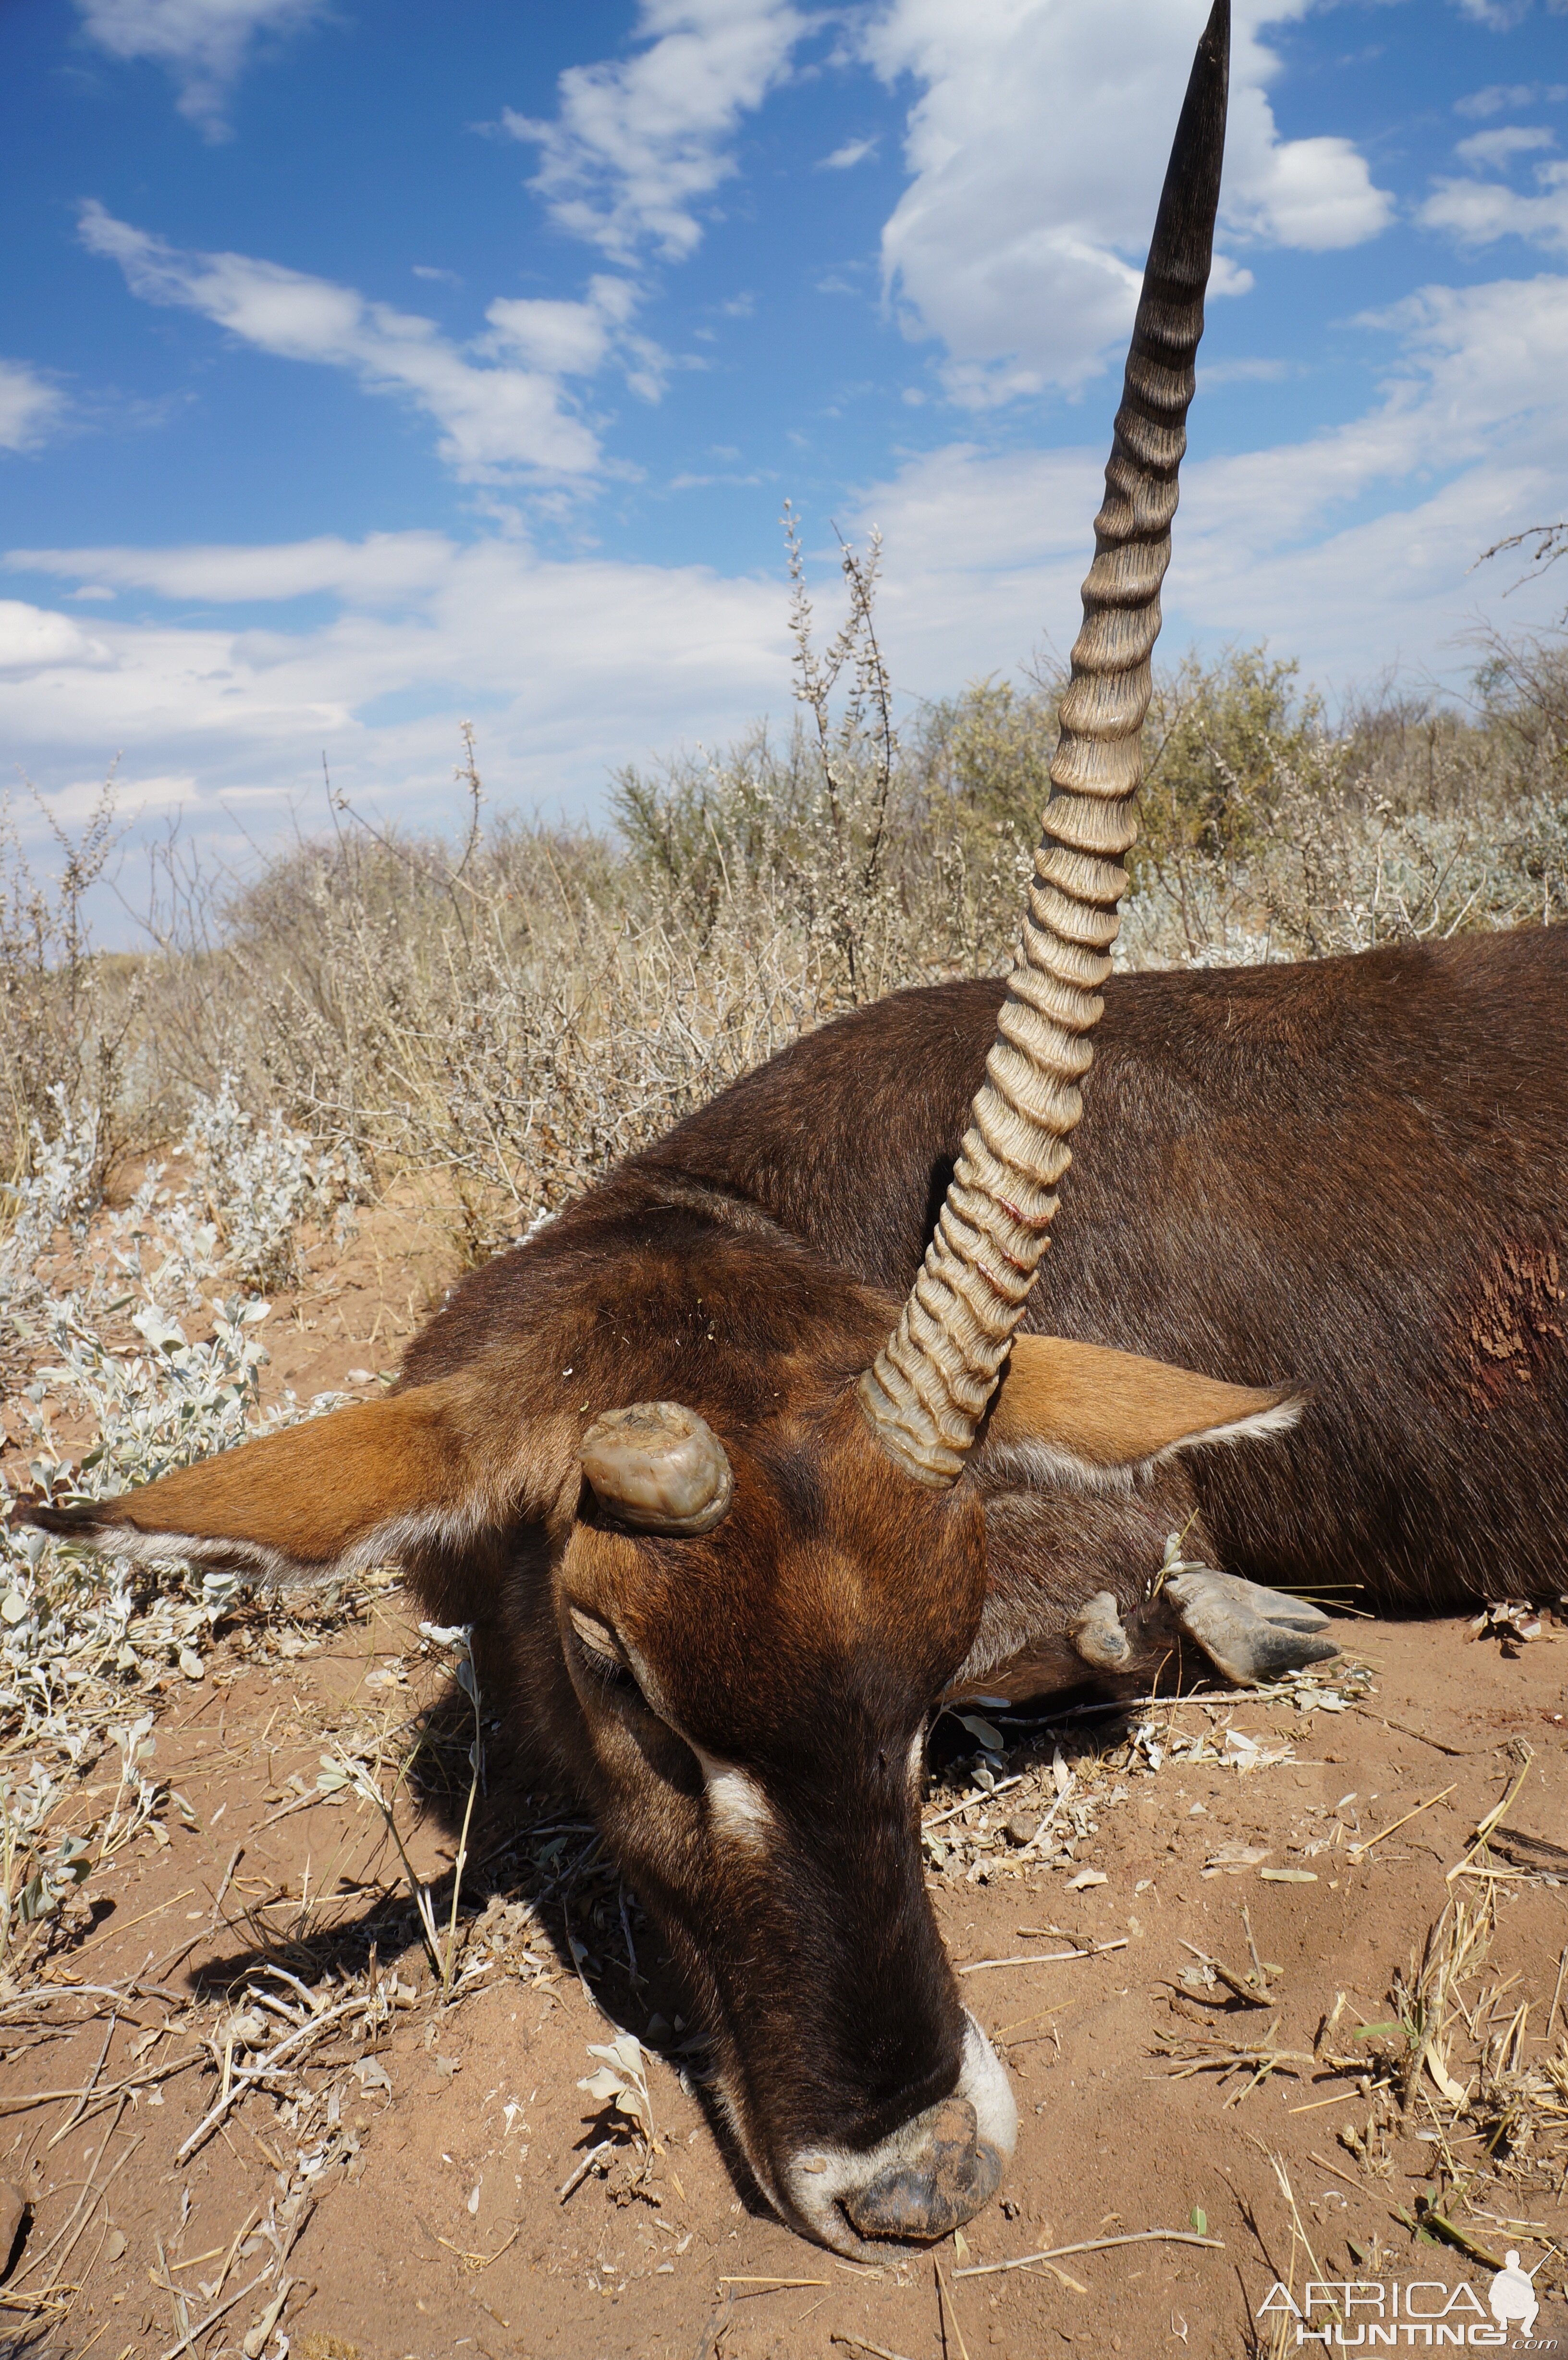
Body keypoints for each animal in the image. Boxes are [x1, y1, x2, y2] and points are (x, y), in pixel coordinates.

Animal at [18, 0, 1558, 2256]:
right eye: (619, 1672)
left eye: (913, 1690)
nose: (916, 2175)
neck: (753, 1201)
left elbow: (1136, 1607)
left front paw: (1213, 1625)